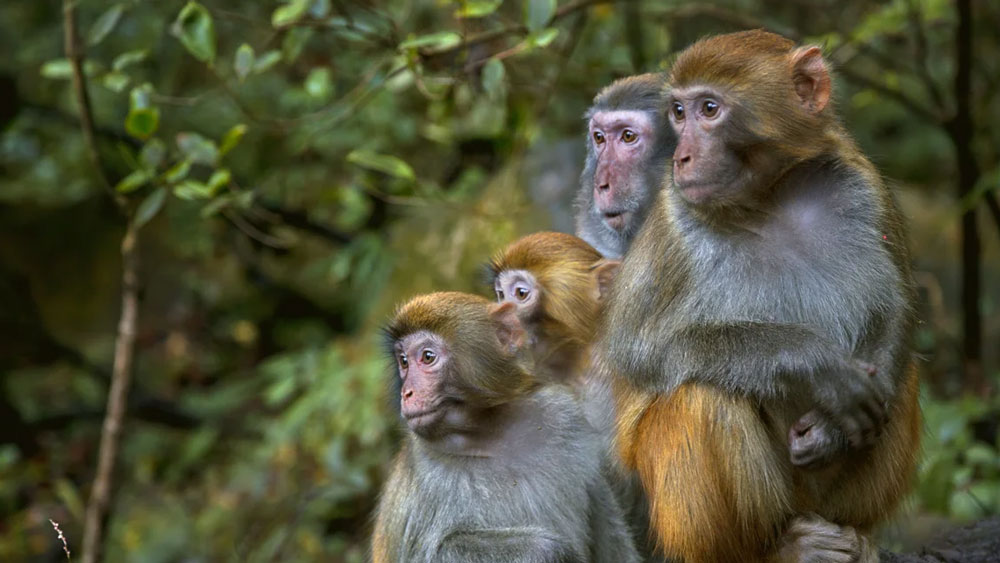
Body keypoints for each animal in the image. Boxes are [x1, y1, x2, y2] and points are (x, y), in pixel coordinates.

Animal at [372, 294, 636, 560]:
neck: (490, 432)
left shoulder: (565, 417)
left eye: (427, 357)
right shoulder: (427, 470)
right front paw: (547, 550)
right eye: (404, 362)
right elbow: (433, 552)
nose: (407, 393)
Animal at [600, 32, 920, 563]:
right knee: (701, 393)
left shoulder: (864, 184)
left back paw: (854, 535)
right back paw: (773, 549)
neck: (769, 197)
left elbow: (896, 310)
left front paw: (832, 430)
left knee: (902, 374)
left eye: (709, 109)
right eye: (678, 113)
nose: (681, 158)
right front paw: (814, 362)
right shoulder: (672, 221)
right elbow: (639, 351)